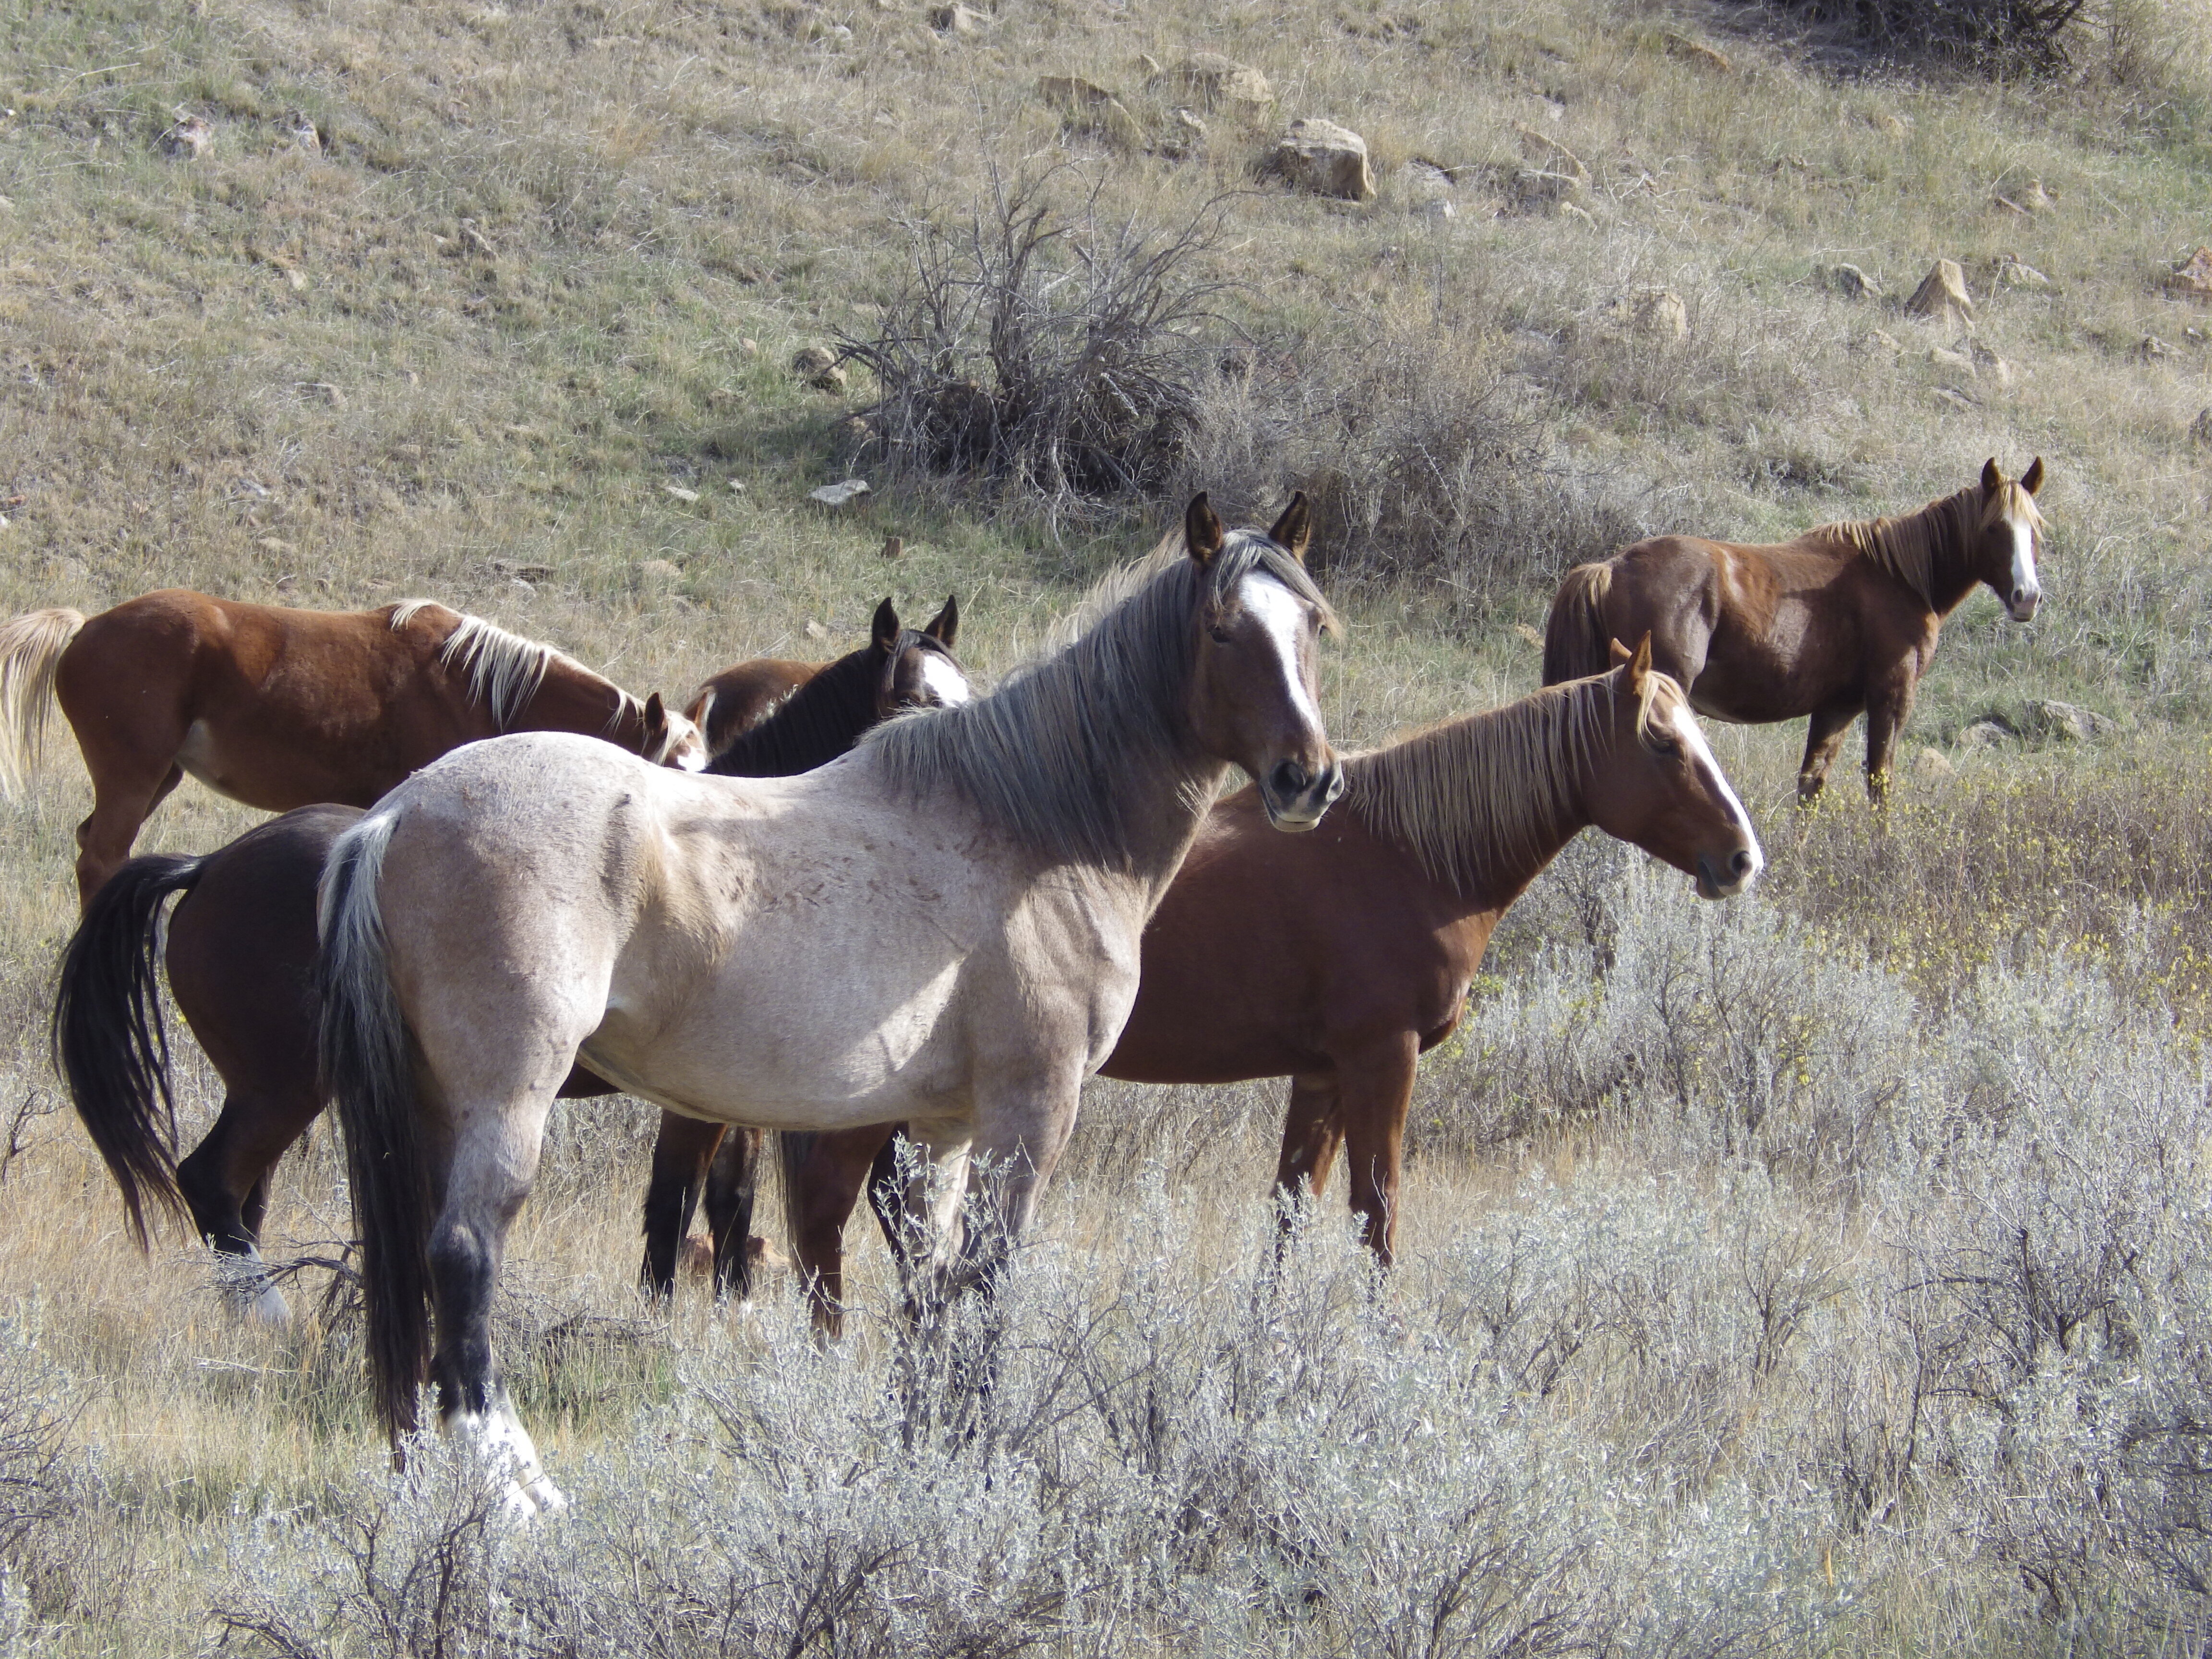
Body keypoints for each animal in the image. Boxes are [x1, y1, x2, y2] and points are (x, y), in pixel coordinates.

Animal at [0, 592, 703, 911]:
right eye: (666, 771)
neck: (480, 688)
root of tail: (86, 628)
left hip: (156, 780)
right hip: (133, 777)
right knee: (100, 859)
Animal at [318, 491, 1336, 1504]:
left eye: (1312, 626)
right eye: (1221, 629)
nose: (1309, 779)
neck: (1036, 826)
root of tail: (396, 813)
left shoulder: (943, 1127)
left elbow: (929, 1288)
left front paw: (923, 1458)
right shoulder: (1030, 1110)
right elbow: (987, 1285)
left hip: (434, 1105)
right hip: (508, 1096)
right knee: (462, 1253)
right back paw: (516, 1489)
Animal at [725, 637, 1760, 1336]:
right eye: (1663, 746)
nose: (1741, 859)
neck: (1407, 855)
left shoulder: (1322, 1074)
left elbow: (1291, 1213)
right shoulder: (1381, 1062)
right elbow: (1377, 1214)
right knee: (825, 1218)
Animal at [1548, 457, 2044, 801]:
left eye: (2036, 529)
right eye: (1995, 528)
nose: (2028, 597)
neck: (1899, 578)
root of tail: (1611, 568)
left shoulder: (1837, 708)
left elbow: (1812, 785)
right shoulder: (1892, 696)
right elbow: (1880, 782)